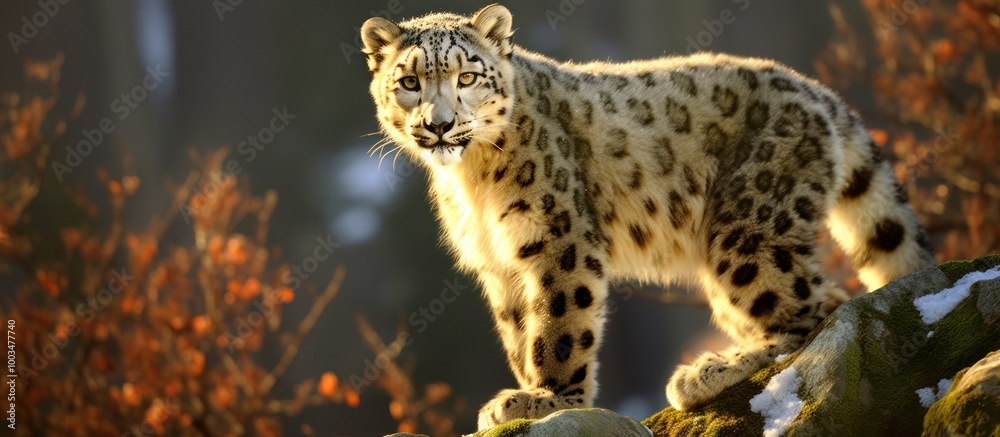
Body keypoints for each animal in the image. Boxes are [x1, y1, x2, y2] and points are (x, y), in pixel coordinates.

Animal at [360, 4, 935, 429]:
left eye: (467, 76)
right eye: (409, 82)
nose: (439, 124)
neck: (471, 178)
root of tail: (815, 91)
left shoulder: (558, 239)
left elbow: (559, 325)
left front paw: (549, 399)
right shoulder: (500, 265)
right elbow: (520, 334)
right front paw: (522, 395)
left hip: (747, 233)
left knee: (809, 313)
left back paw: (707, 373)